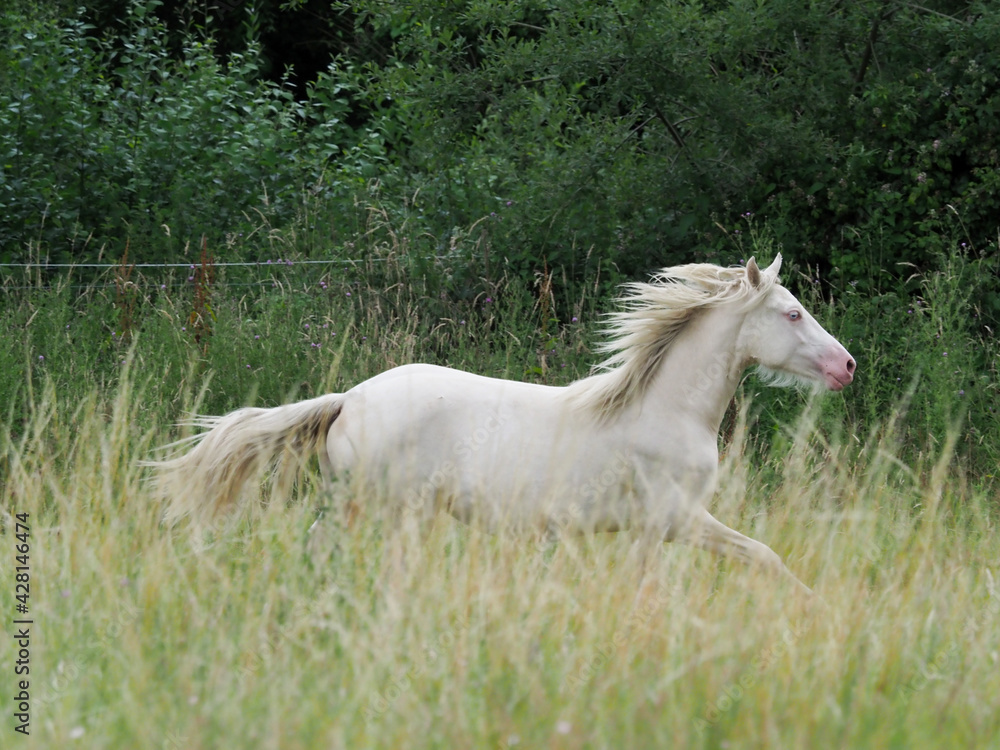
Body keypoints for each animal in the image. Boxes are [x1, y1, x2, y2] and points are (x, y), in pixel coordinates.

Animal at [148, 254, 855, 594]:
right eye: (792, 313)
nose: (846, 366)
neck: (666, 410)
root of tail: (349, 398)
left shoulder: (650, 530)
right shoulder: (675, 520)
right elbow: (762, 556)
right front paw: (811, 604)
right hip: (378, 507)